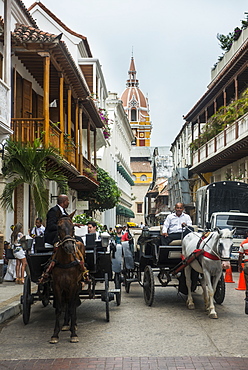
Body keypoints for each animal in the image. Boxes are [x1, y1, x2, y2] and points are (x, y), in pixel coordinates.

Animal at [49, 214, 86, 344]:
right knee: (67, 301)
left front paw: (73, 334)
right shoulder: (57, 285)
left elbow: (70, 307)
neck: (65, 261)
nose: (70, 246)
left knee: (73, 303)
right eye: (58, 227)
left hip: (77, 285)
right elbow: (59, 308)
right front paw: (55, 334)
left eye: (73, 227)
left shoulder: (73, 285)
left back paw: (73, 324)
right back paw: (65, 324)